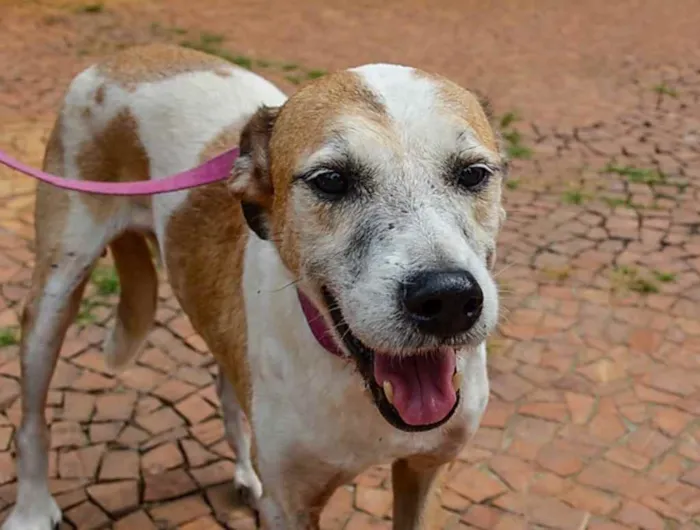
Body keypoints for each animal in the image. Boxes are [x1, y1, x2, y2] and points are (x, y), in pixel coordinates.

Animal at [4, 44, 508, 528]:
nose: (448, 298)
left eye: (473, 173)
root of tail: (120, 58)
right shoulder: (290, 505)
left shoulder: (426, 470)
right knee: (31, 420)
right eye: (331, 180)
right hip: (54, 292)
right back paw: (31, 509)